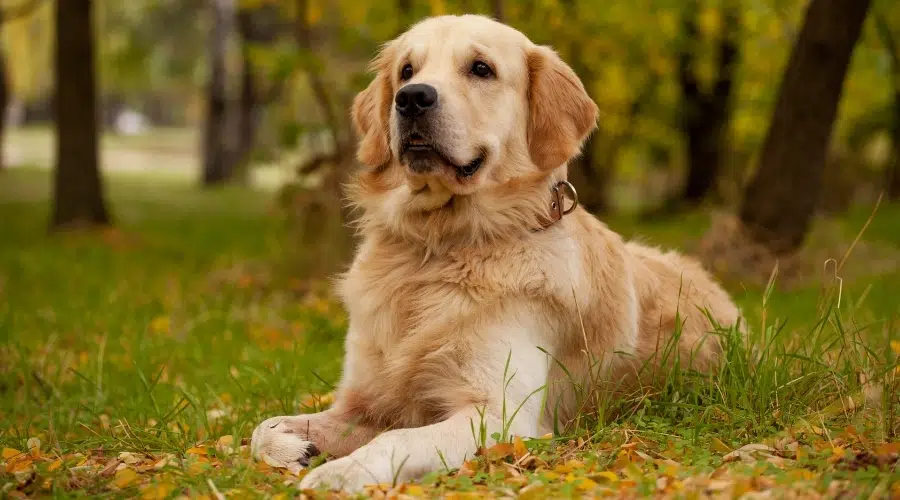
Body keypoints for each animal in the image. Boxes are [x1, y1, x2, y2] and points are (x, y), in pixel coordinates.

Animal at [248, 13, 740, 490]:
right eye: (407, 70)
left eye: (481, 69)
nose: (411, 98)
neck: (438, 246)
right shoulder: (364, 399)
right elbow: (262, 428)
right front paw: (295, 447)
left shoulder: (500, 414)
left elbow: (396, 437)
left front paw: (342, 472)